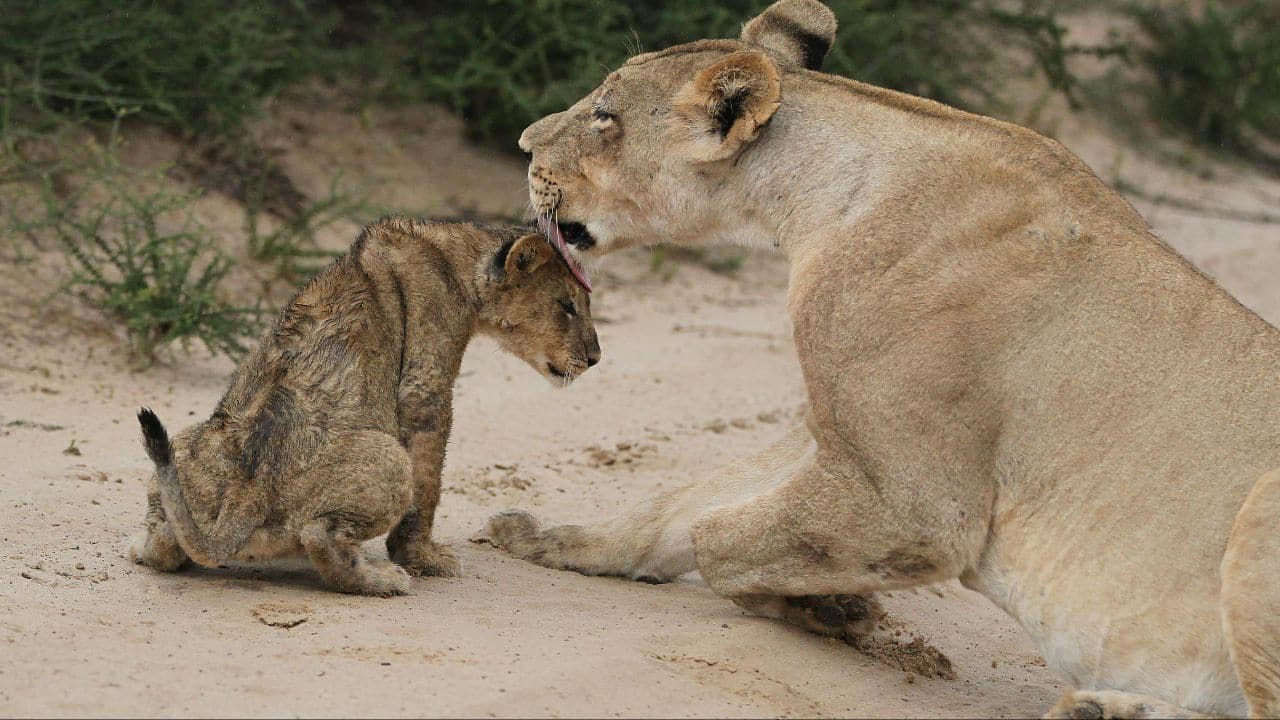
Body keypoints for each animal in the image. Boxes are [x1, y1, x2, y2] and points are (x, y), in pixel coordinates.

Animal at [130, 218, 599, 596]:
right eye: (567, 306)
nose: (595, 358)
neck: (457, 256)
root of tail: (248, 492)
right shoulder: (425, 386)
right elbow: (428, 484)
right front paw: (425, 559)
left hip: (186, 443)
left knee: (168, 535)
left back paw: (141, 546)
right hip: (389, 458)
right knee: (320, 535)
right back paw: (383, 580)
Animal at [484, 1, 1280, 716]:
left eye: (604, 116)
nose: (522, 142)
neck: (817, 200)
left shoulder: (919, 506)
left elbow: (721, 539)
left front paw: (832, 609)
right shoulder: (836, 427)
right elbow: (686, 505)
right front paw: (552, 539)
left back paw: (1103, 707)